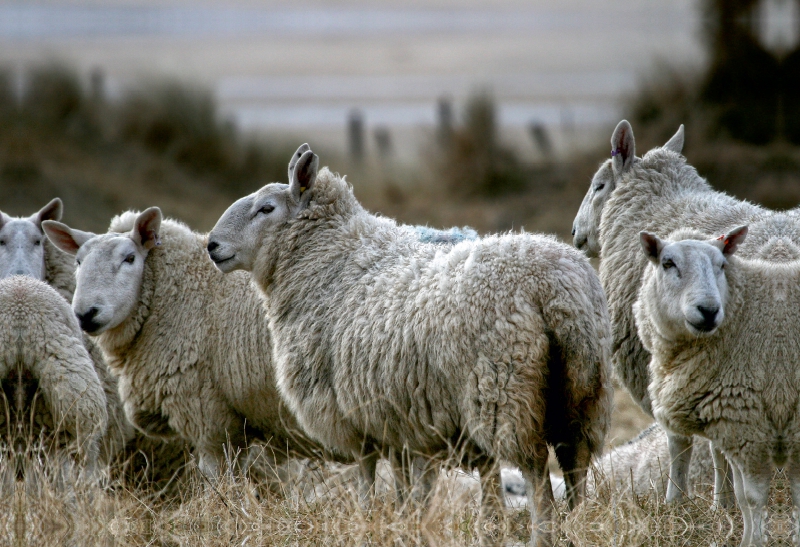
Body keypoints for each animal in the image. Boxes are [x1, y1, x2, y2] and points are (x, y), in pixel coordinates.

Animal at [206, 143, 612, 544]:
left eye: (266, 208)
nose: (212, 245)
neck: (330, 262)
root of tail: (551, 285)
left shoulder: (352, 410)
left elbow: (368, 470)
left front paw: (367, 513)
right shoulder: (400, 415)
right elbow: (409, 477)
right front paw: (410, 517)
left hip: (504, 391)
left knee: (536, 471)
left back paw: (543, 530)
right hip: (580, 391)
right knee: (575, 462)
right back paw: (578, 524)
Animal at [632, 228, 800, 547]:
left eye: (722, 265)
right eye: (668, 263)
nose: (708, 310)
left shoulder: (751, 428)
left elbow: (754, 498)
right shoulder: (739, 427)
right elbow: (743, 498)